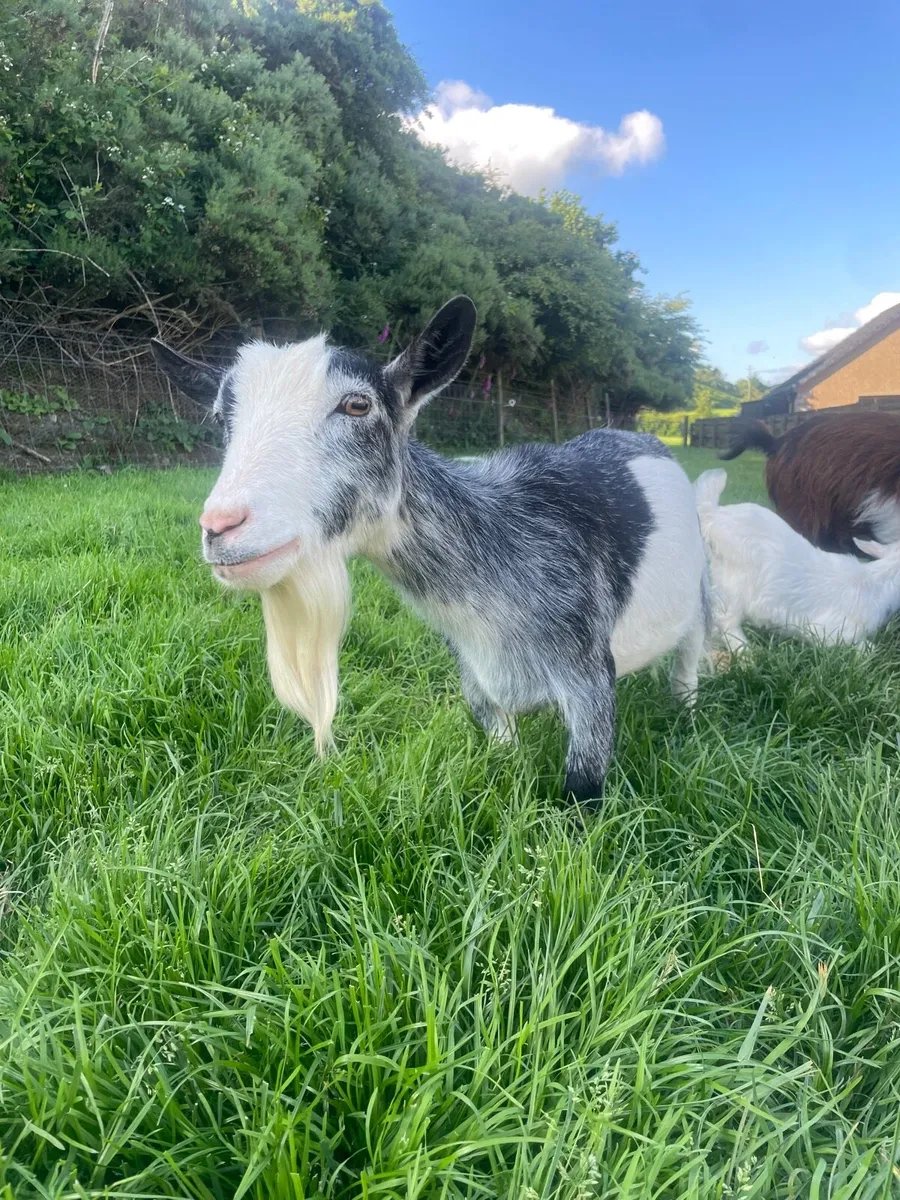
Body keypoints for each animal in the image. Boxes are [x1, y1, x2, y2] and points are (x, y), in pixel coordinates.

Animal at [151, 298, 709, 806]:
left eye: (357, 405)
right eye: (221, 417)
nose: (220, 525)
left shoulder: (588, 672)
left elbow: (583, 788)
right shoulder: (474, 674)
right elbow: (503, 748)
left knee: (692, 647)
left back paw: (687, 706)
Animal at [695, 468, 900, 652]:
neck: (877, 582)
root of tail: (712, 515)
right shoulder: (834, 631)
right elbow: (866, 648)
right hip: (734, 584)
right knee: (725, 620)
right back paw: (747, 654)